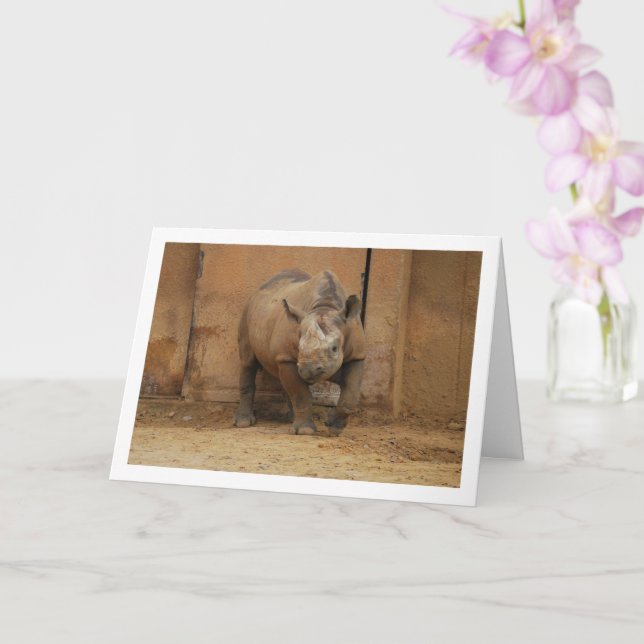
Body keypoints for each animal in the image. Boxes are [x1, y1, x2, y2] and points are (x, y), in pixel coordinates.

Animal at [234, 269, 366, 435]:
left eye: (334, 348)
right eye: (299, 347)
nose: (309, 370)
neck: (325, 307)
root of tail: (259, 289)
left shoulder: (357, 356)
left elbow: (351, 395)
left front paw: (334, 428)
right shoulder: (287, 358)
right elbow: (301, 395)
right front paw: (305, 431)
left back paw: (290, 419)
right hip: (247, 312)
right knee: (248, 362)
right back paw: (243, 423)